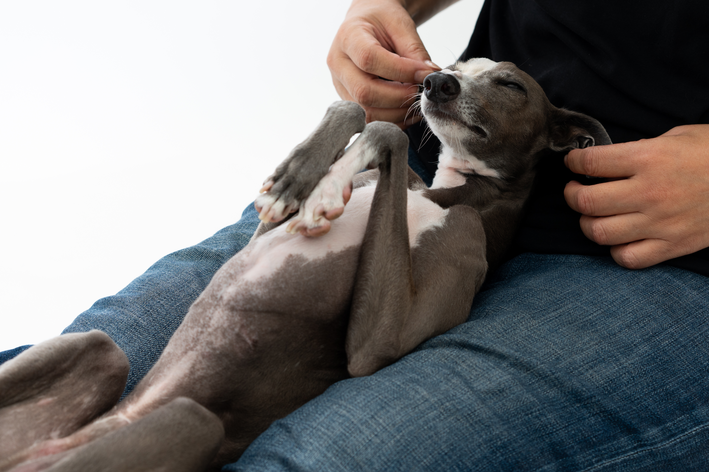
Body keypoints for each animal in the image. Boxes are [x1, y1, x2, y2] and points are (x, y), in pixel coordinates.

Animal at [0, 57, 608, 470]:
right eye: (453, 66)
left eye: (510, 84)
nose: (436, 83)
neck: (448, 196)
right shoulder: (263, 236)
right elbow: (356, 110)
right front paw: (299, 180)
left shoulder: (385, 336)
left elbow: (385, 132)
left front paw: (326, 192)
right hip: (96, 349)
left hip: (189, 420)